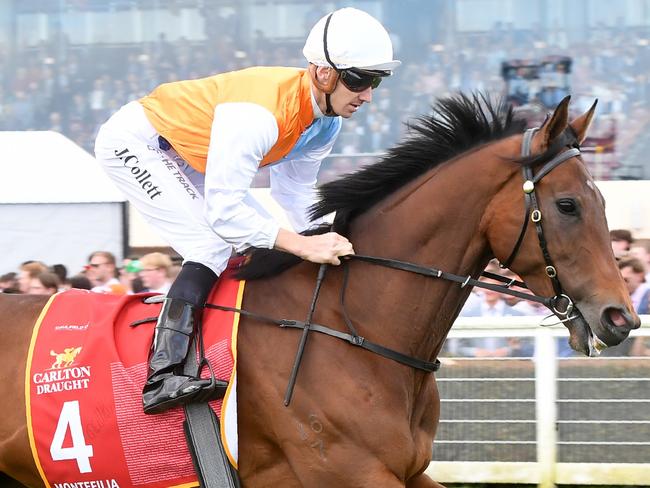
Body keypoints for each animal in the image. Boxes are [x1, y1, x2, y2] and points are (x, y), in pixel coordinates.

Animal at [0, 93, 636, 486]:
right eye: (568, 204)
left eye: (605, 200)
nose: (621, 318)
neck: (353, 328)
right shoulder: (348, 472)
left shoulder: (408, 471)